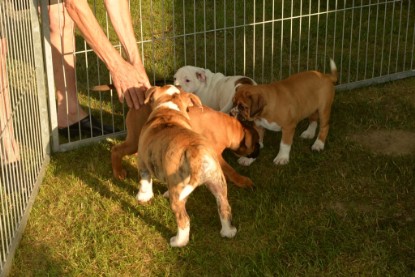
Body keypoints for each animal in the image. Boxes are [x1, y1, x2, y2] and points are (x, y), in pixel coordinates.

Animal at [110, 97, 260, 188]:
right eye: (256, 144)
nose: (259, 151)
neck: (229, 127)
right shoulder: (216, 154)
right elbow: (230, 169)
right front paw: (242, 181)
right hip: (134, 140)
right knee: (116, 150)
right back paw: (118, 172)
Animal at [138, 85, 237, 247]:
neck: (169, 110)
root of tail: (196, 151)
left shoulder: (142, 161)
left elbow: (145, 181)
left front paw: (142, 197)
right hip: (217, 182)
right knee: (224, 207)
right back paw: (228, 231)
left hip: (179, 194)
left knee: (184, 219)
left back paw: (178, 242)